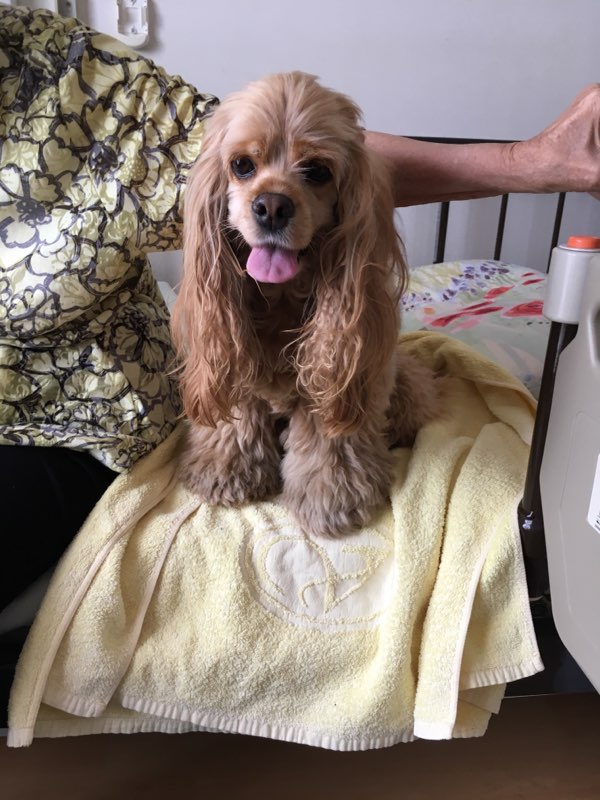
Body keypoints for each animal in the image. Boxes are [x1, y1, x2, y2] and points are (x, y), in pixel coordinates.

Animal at [171, 71, 438, 537]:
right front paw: (225, 469)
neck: (281, 300)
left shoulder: (337, 374)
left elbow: (329, 437)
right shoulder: (233, 355)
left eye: (317, 171)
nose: (272, 206)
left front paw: (332, 496)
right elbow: (238, 417)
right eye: (242, 165)